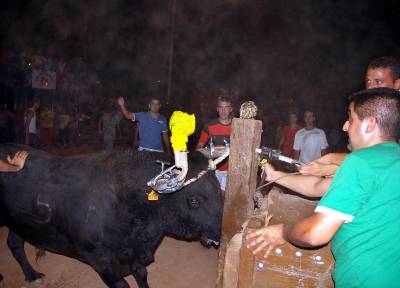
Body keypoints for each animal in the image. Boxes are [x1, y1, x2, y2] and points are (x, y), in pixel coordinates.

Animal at [0, 145, 223, 286]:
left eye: (219, 190)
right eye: (194, 201)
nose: (220, 232)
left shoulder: (136, 258)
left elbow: (142, 275)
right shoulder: (103, 264)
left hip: (19, 222)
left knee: (15, 243)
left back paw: (32, 275)